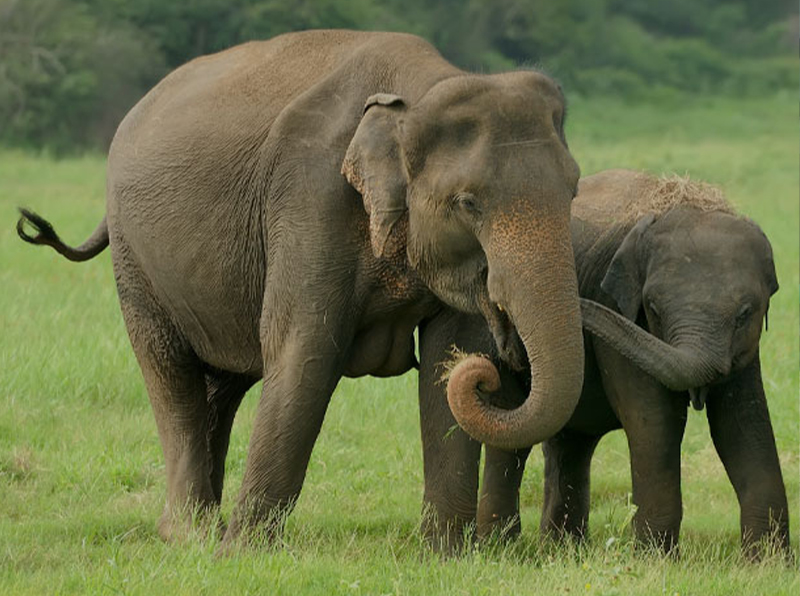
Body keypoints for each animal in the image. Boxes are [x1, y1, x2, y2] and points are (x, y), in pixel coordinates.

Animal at [16, 30, 592, 550]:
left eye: (573, 190)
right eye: (468, 203)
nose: (502, 365)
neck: (422, 86)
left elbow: (447, 357)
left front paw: (444, 555)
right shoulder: (308, 197)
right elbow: (304, 351)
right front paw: (242, 554)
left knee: (221, 387)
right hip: (135, 262)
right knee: (171, 376)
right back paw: (192, 536)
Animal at [422, 169, 790, 558]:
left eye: (745, 313)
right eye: (653, 308)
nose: (500, 303)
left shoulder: (746, 350)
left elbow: (742, 423)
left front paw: (767, 562)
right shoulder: (620, 315)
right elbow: (655, 420)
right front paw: (655, 560)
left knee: (570, 442)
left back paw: (563, 550)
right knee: (513, 437)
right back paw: (503, 548)